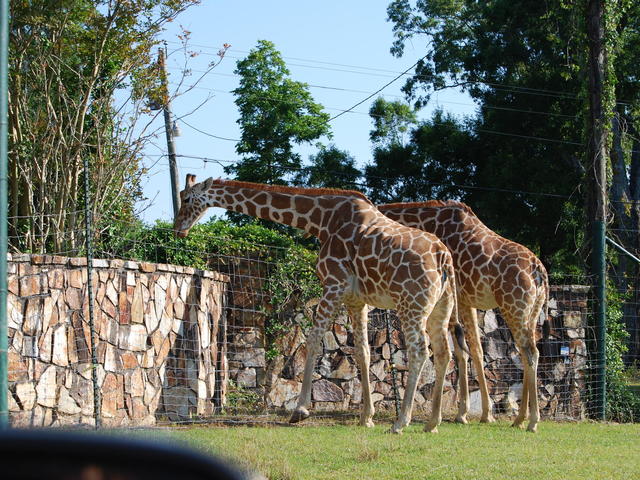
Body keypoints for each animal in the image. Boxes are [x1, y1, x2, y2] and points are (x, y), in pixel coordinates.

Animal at [174, 174, 464, 434]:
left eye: (186, 198)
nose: (179, 229)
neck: (322, 220)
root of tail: (443, 257)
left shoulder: (333, 285)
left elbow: (313, 339)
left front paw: (299, 411)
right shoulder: (357, 299)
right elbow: (363, 352)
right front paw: (366, 418)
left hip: (411, 305)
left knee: (419, 350)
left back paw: (401, 422)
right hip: (441, 307)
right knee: (444, 352)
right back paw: (432, 422)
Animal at [378, 201, 548, 434]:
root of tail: (539, 271)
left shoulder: (459, 300)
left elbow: (468, 351)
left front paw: (473, 414)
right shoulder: (466, 303)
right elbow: (470, 351)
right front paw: (471, 413)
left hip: (514, 307)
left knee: (530, 352)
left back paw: (532, 421)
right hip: (531, 310)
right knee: (526, 352)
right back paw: (520, 419)